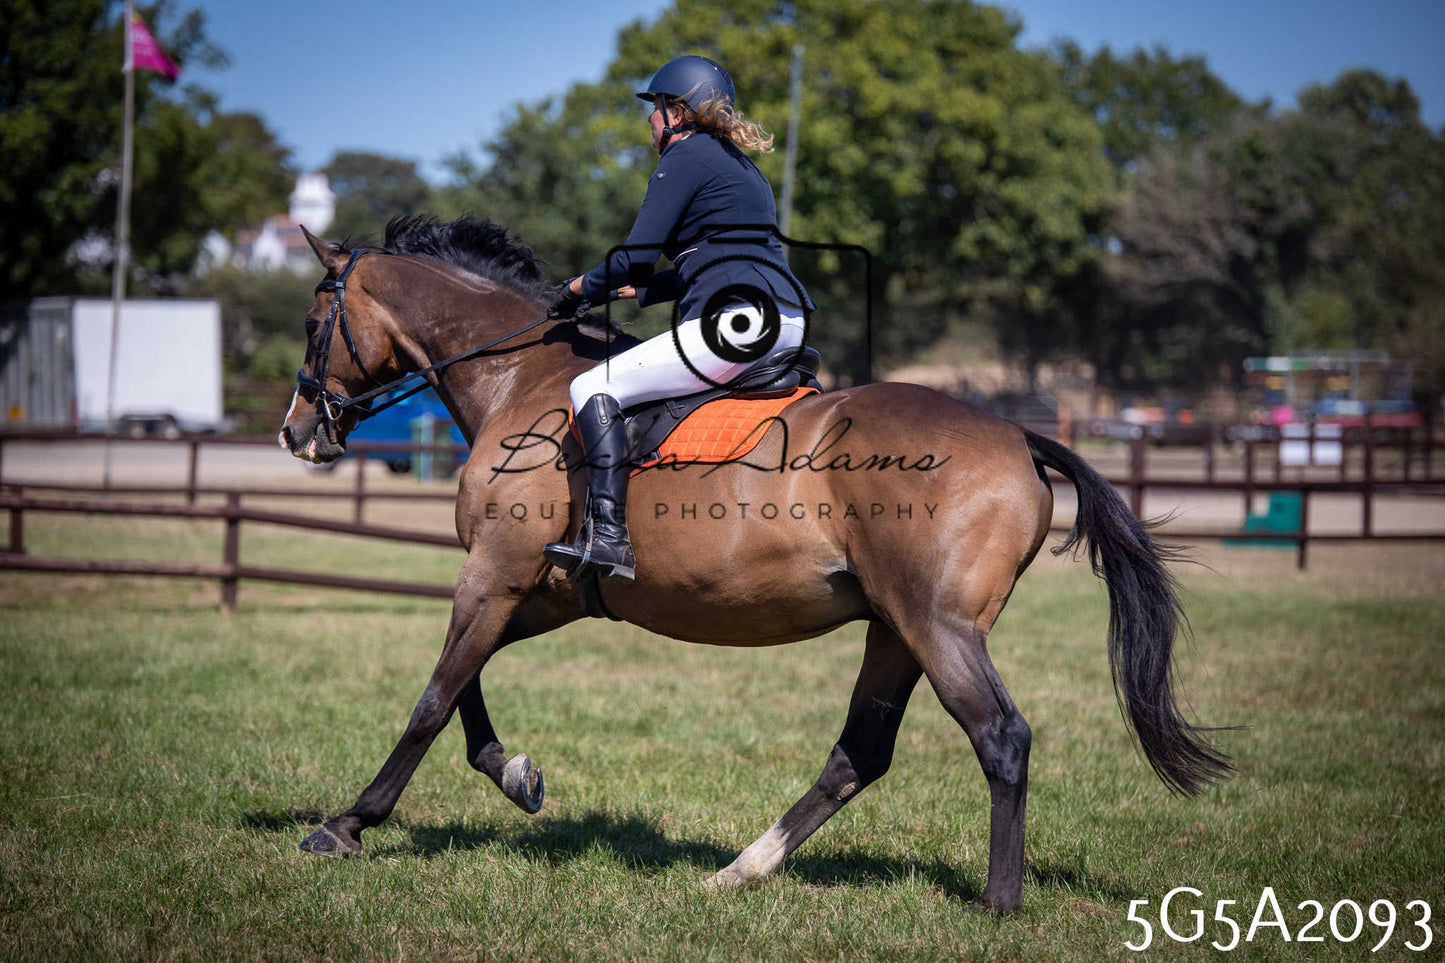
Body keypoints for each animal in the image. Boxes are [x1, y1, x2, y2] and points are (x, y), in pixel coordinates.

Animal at [278, 215, 1231, 914]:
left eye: (314, 323)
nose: (296, 432)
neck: (520, 380)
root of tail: (1015, 436)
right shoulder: (540, 589)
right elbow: (464, 691)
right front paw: (515, 775)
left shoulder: (494, 572)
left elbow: (432, 698)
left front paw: (348, 824)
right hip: (893, 628)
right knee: (858, 754)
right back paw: (742, 868)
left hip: (938, 625)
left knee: (998, 735)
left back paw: (997, 902)